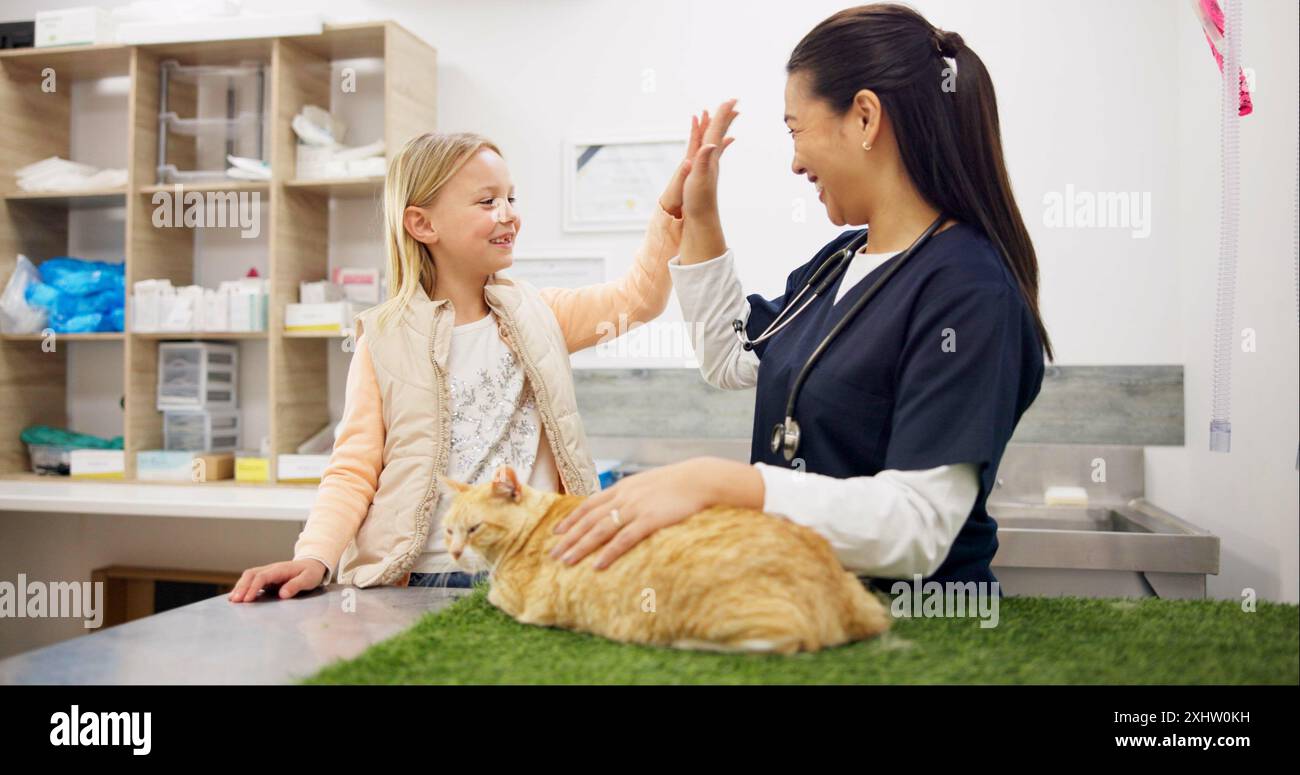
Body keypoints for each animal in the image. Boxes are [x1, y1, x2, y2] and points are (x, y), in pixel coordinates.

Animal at [441, 465, 889, 652]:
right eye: (448, 531)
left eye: (474, 529)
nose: (455, 551)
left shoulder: (510, 597)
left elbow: (493, 594)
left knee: (787, 643)